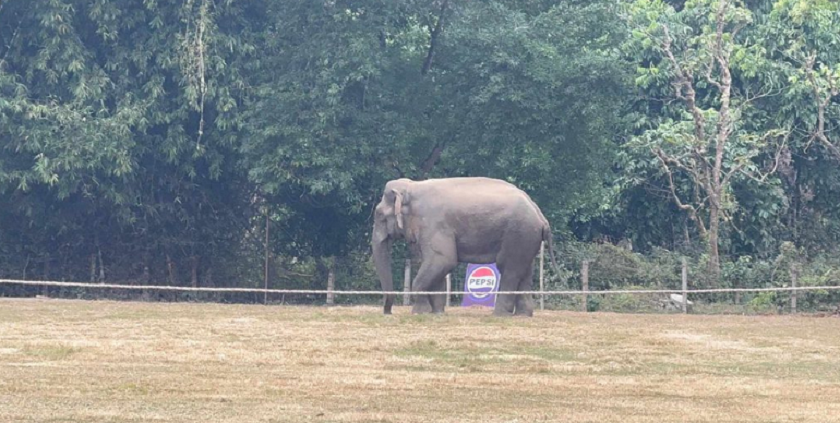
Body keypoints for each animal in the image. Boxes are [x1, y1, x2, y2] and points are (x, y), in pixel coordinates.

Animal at [372, 176, 556, 318]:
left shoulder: (433, 224)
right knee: (525, 271)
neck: (412, 187)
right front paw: (437, 313)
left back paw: (499, 315)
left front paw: (419, 312)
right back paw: (523, 315)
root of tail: (540, 216)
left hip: (518, 233)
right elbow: (437, 266)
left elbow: (443, 260)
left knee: (509, 269)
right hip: (526, 238)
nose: (387, 312)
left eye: (379, 215)